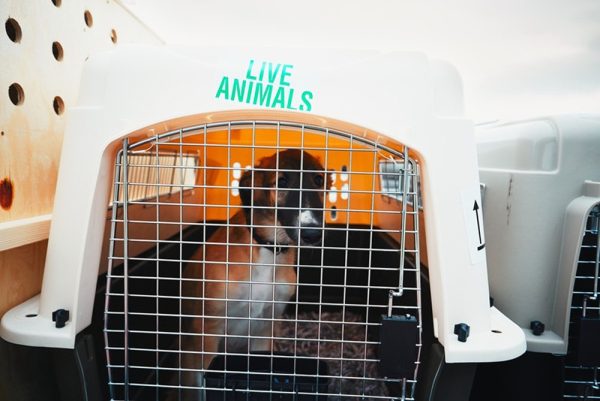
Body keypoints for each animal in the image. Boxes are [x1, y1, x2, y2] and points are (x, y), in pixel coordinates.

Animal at [180, 148, 330, 396]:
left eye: (318, 180)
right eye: (281, 182)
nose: (312, 234)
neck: (268, 250)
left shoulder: (264, 328)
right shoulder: (207, 332)